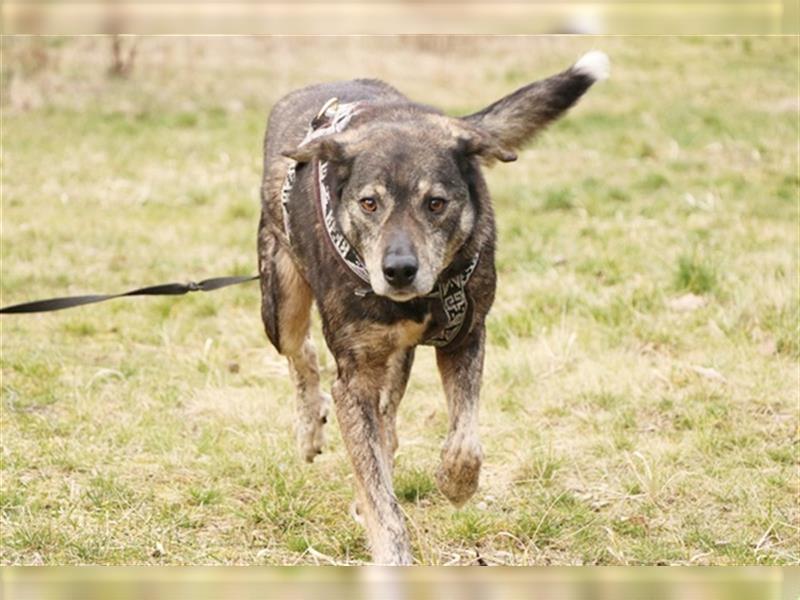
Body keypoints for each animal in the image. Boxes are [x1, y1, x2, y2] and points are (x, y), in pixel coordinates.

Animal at [260, 50, 608, 564]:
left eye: (436, 203)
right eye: (369, 203)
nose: (399, 270)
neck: (425, 296)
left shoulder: (466, 337)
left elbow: (465, 441)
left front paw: (455, 483)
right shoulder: (353, 379)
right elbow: (379, 493)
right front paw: (391, 554)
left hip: (395, 362)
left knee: (386, 422)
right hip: (280, 298)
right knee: (299, 352)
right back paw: (310, 430)